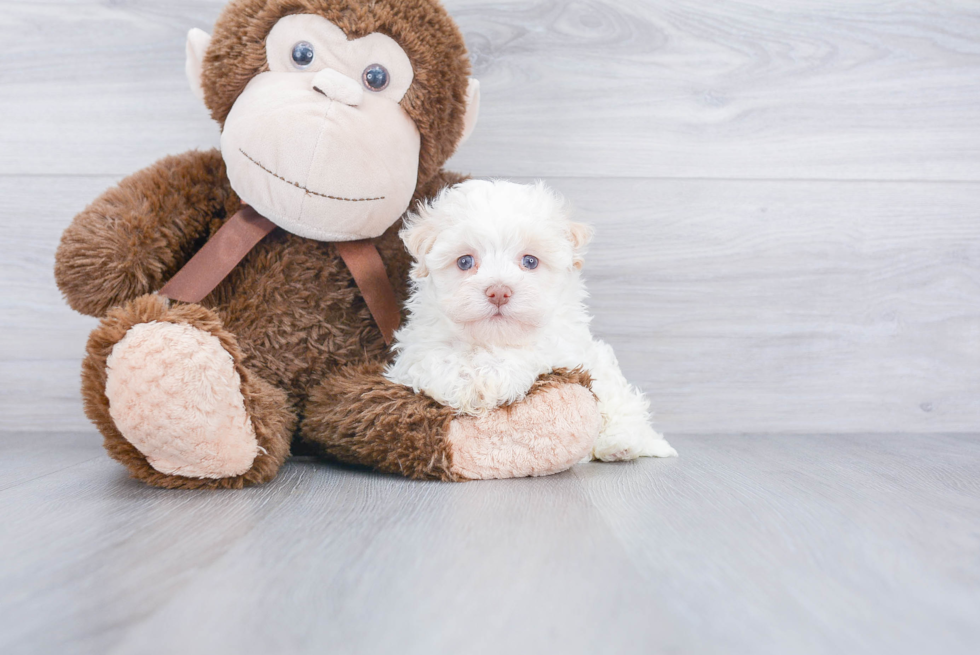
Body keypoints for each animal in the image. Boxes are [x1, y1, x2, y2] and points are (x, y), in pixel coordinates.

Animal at [386, 179, 676, 462]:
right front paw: (469, 386)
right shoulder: (418, 347)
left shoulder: (562, 345)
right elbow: (438, 359)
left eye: (530, 261)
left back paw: (619, 444)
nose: (499, 291)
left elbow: (523, 354)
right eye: (465, 261)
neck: (491, 339)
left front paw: (489, 380)